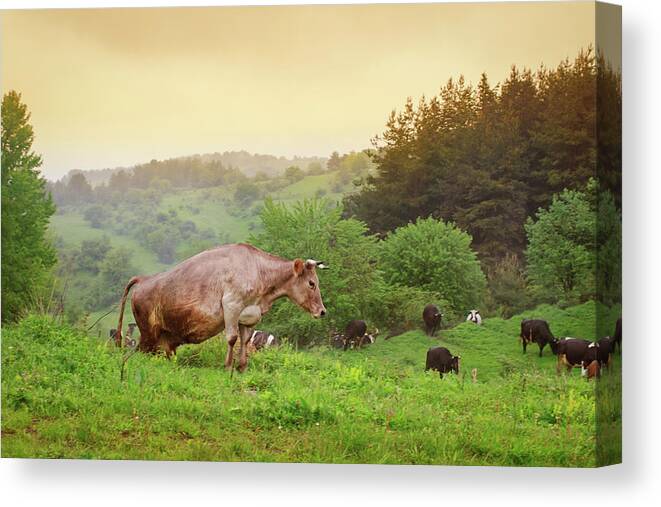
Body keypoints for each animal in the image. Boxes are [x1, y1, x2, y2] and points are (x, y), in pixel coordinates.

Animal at [117, 245, 328, 374]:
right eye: (311, 283)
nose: (322, 311)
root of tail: (144, 279)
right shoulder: (231, 305)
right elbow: (232, 338)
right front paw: (227, 366)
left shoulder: (249, 315)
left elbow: (244, 340)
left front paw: (242, 367)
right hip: (148, 334)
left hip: (159, 341)